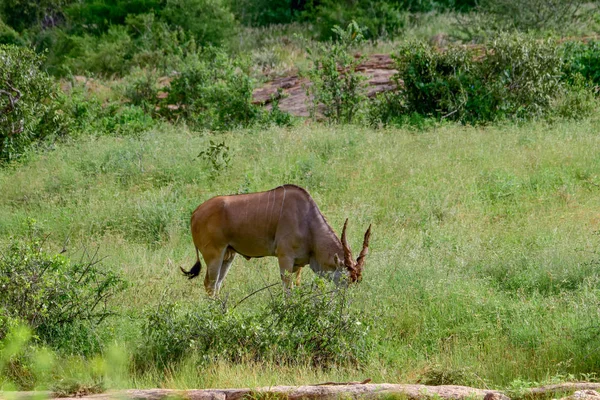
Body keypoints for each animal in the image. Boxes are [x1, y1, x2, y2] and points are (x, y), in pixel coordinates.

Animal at [180, 185, 370, 296]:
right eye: (346, 279)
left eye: (358, 281)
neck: (307, 220)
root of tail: (195, 213)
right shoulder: (285, 258)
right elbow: (287, 290)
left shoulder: (298, 264)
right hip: (214, 255)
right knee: (209, 284)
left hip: (228, 255)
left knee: (217, 284)